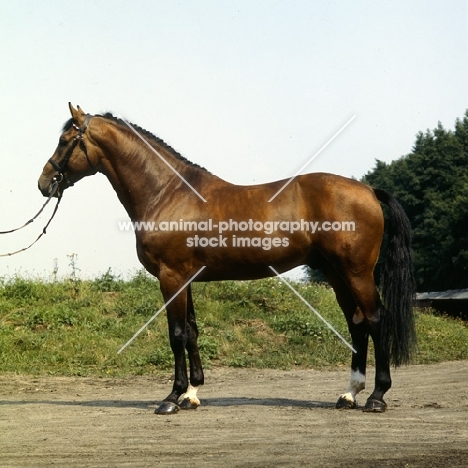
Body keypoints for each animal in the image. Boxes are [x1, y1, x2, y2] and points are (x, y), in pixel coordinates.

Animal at [38, 104, 414, 414]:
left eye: (64, 140)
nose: (44, 183)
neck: (168, 193)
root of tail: (368, 190)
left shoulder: (171, 278)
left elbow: (176, 334)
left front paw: (171, 398)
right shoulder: (184, 279)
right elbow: (191, 332)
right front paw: (191, 394)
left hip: (357, 273)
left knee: (375, 319)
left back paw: (376, 397)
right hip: (336, 274)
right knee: (357, 323)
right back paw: (349, 393)